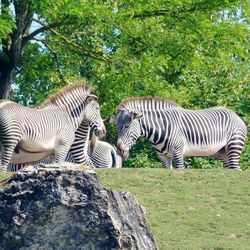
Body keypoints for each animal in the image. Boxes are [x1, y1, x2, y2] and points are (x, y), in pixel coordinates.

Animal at [112, 96, 247, 169]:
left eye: (127, 126)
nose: (120, 151)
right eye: (117, 128)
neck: (160, 128)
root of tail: (235, 114)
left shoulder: (178, 152)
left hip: (234, 145)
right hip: (221, 153)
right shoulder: (163, 157)